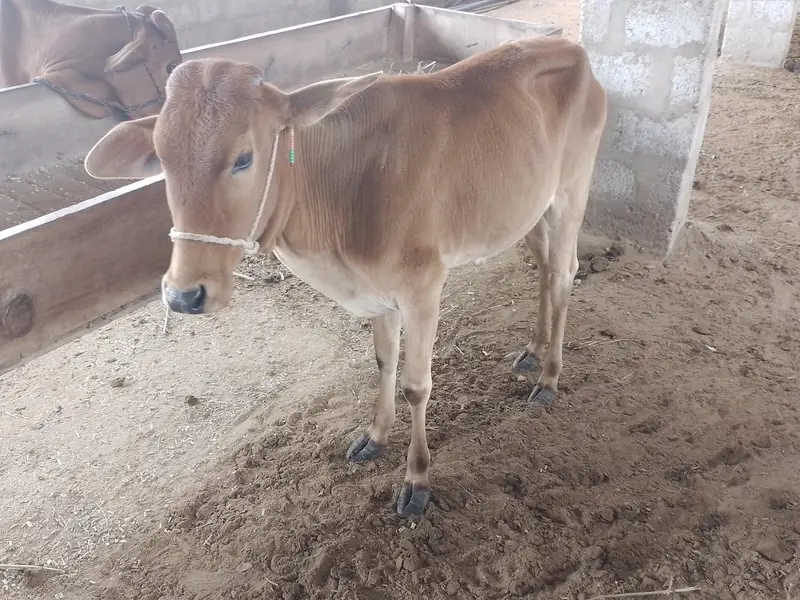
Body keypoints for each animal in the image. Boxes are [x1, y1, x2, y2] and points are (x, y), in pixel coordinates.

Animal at [82, 36, 607, 519]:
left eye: (244, 157)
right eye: (162, 159)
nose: (183, 296)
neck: (345, 187)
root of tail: (572, 48)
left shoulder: (423, 288)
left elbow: (416, 384)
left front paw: (417, 479)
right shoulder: (377, 292)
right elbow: (383, 361)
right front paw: (375, 436)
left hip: (571, 193)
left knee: (563, 277)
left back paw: (549, 379)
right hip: (527, 211)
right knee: (544, 270)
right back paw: (532, 351)